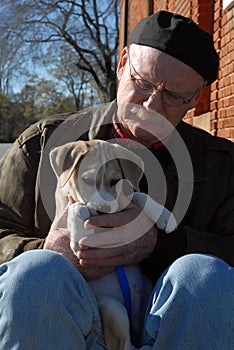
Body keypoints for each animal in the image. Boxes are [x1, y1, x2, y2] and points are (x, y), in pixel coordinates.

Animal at [49, 139, 177, 350]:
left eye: (115, 181)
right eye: (86, 180)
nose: (103, 211)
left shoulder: (123, 199)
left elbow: (138, 195)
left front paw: (163, 215)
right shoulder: (62, 212)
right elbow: (77, 205)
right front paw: (79, 233)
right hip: (111, 306)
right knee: (125, 344)